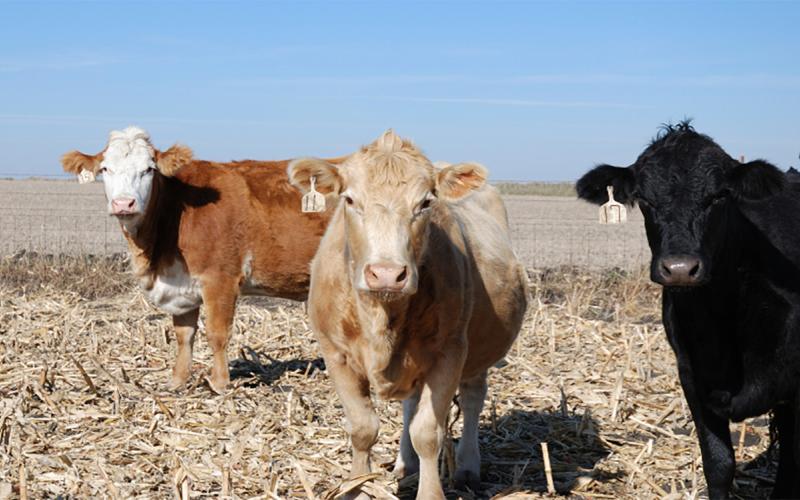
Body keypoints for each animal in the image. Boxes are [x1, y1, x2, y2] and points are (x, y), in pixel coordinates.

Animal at [61, 126, 337, 393]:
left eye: (148, 169)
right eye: (105, 169)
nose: (123, 203)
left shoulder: (220, 279)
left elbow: (217, 333)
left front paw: (219, 383)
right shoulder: (180, 285)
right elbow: (184, 335)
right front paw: (177, 381)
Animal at [287, 130, 528, 499]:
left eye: (425, 203)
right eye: (350, 200)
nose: (387, 274)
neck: (382, 319)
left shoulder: (449, 352)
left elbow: (428, 433)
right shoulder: (335, 353)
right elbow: (363, 428)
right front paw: (356, 486)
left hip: (478, 351)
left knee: (473, 398)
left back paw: (468, 468)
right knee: (410, 403)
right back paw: (406, 463)